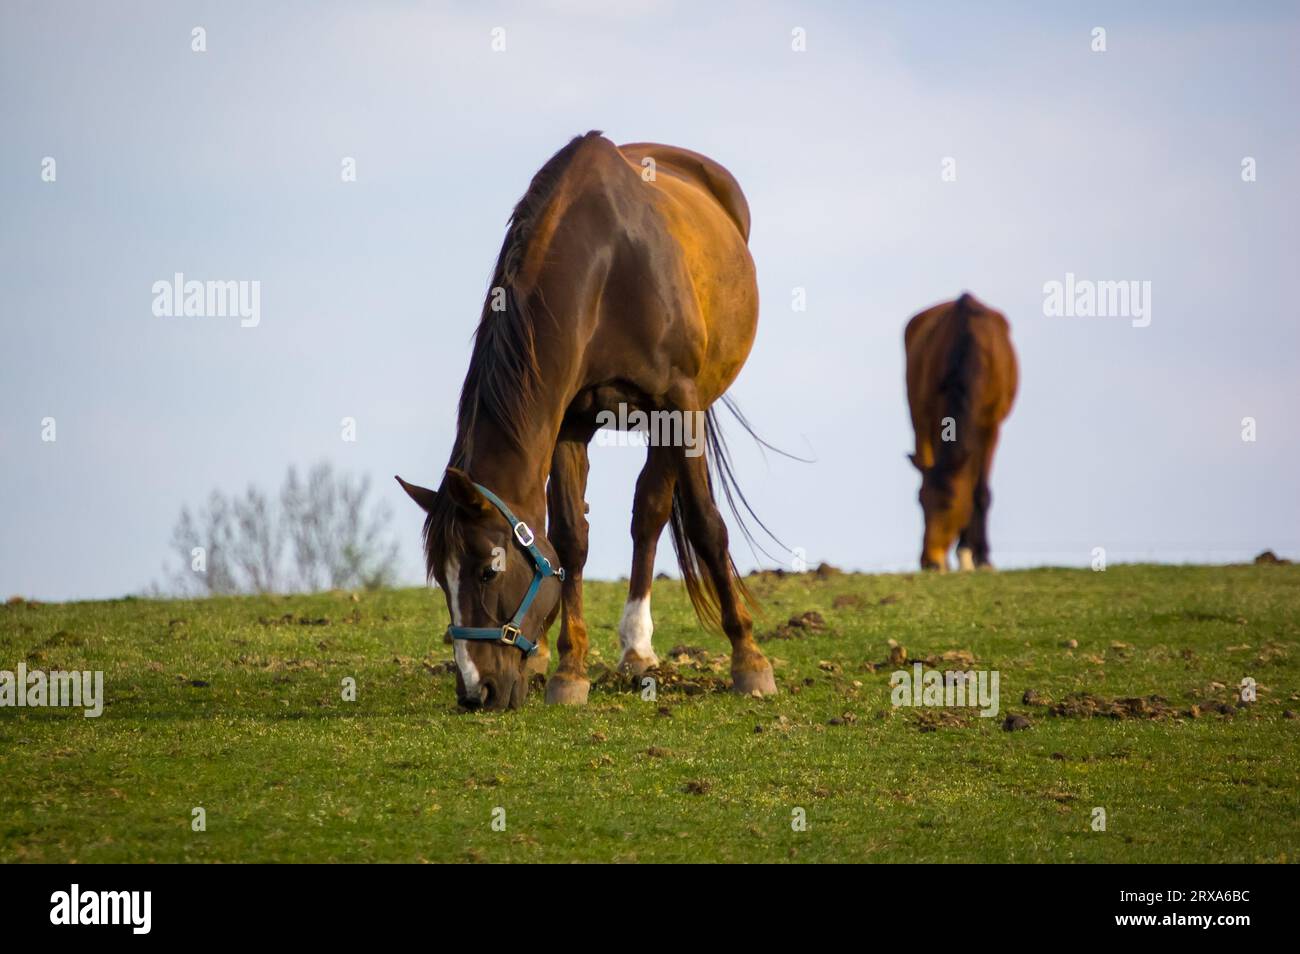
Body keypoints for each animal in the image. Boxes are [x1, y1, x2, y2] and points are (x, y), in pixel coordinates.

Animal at [396, 131, 777, 710]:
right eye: (441, 579)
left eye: (487, 570)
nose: (476, 692)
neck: (608, 268)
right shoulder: (567, 420)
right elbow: (570, 537)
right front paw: (569, 669)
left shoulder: (679, 401)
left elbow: (706, 525)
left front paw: (749, 660)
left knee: (652, 510)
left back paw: (639, 648)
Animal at [904, 292, 1018, 571]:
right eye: (919, 501)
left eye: (949, 503)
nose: (929, 562)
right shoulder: (933, 416)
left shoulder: (991, 426)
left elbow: (979, 491)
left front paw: (980, 558)